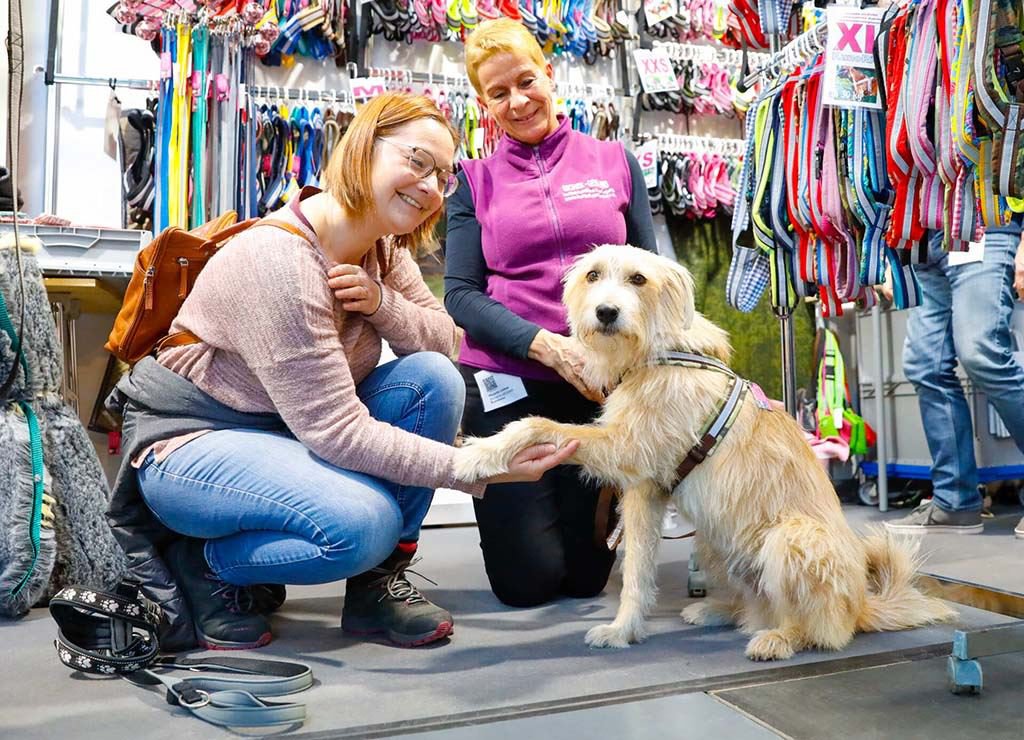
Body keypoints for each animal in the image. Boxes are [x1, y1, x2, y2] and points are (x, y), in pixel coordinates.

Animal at [452, 247, 954, 659]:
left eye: (638, 279)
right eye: (593, 275)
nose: (606, 312)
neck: (657, 353)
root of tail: (862, 605)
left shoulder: (625, 449)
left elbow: (538, 425)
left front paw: (475, 456)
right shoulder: (644, 492)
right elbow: (636, 573)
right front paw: (624, 630)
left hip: (791, 538)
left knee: (825, 631)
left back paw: (780, 639)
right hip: (713, 538)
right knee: (753, 604)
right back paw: (720, 611)